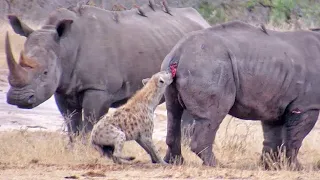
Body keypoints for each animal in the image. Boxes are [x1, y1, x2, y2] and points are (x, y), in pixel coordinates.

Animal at [5, 2, 211, 141]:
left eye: (45, 73)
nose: (17, 99)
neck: (64, 46)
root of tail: (203, 21)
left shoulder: (98, 89)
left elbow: (90, 123)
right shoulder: (63, 88)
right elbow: (72, 123)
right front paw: (74, 150)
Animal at [161, 20, 320, 169]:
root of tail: (178, 53)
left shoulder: (274, 101)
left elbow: (273, 136)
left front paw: (269, 166)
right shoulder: (306, 106)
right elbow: (294, 139)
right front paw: (296, 168)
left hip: (177, 65)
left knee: (173, 112)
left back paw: (174, 162)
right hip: (207, 65)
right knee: (211, 117)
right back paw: (216, 165)